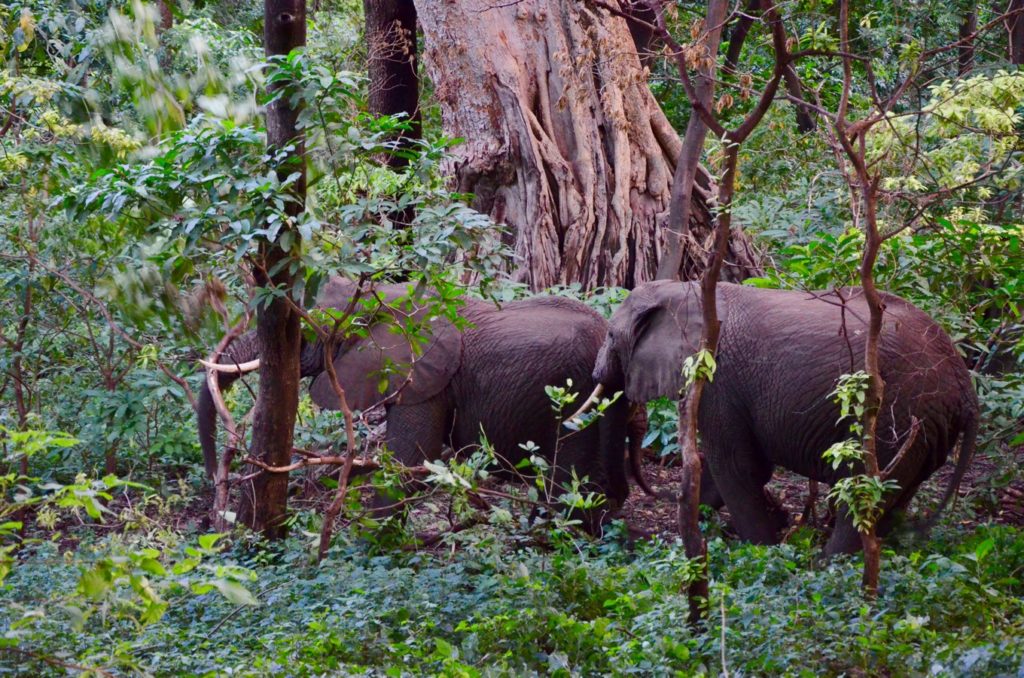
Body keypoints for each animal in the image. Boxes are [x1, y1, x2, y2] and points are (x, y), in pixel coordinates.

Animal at [198, 278, 647, 532]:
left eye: (312, 333)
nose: (217, 511)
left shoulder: (426, 380)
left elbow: (408, 463)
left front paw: (368, 546)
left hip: (578, 397)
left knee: (571, 485)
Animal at [585, 278, 974, 557]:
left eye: (610, 334)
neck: (684, 288)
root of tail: (965, 383)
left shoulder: (717, 380)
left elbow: (738, 467)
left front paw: (761, 551)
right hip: (923, 426)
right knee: (896, 494)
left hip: (899, 412)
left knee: (864, 490)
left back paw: (828, 565)